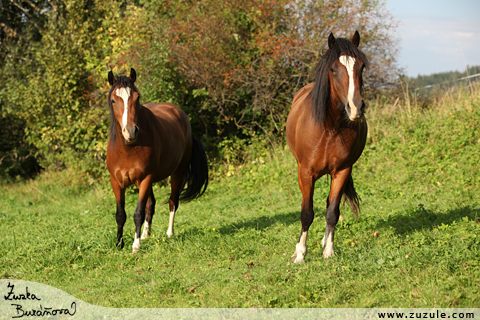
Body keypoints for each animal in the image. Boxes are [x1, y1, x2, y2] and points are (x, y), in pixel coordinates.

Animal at [107, 69, 208, 254]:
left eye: (137, 97)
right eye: (113, 100)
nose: (130, 131)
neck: (128, 148)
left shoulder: (145, 179)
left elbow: (138, 213)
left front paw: (135, 245)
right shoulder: (116, 182)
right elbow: (120, 214)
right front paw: (119, 243)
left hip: (177, 173)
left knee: (172, 202)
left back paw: (169, 233)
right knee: (151, 204)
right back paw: (145, 235)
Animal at [286, 31, 370, 262]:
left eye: (361, 67)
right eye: (333, 69)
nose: (356, 107)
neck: (330, 128)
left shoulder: (342, 171)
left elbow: (332, 212)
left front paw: (329, 251)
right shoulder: (306, 173)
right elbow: (306, 213)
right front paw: (300, 254)